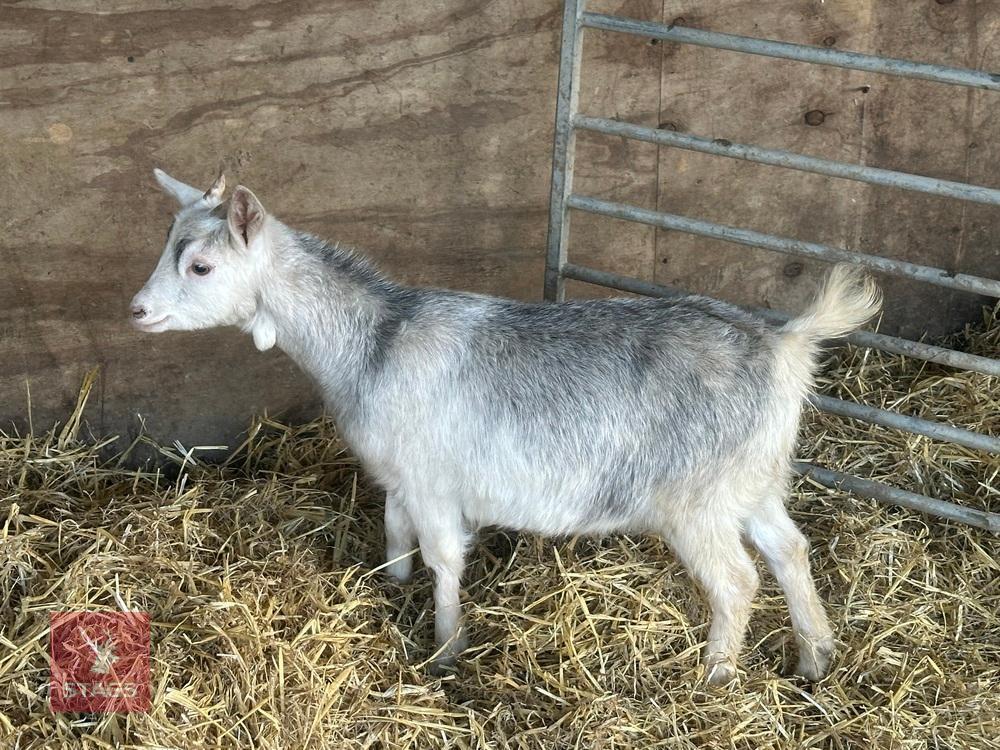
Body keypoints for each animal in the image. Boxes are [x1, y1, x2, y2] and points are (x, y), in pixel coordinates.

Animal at [131, 170, 881, 683]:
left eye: (201, 265)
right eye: (165, 247)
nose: (137, 311)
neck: (375, 340)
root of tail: (784, 343)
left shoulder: (434, 483)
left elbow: (444, 557)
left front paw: (445, 646)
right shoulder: (401, 474)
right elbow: (396, 530)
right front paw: (392, 583)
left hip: (695, 500)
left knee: (736, 582)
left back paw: (714, 677)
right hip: (754, 480)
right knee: (790, 551)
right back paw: (816, 655)